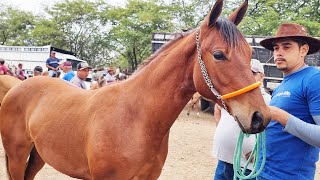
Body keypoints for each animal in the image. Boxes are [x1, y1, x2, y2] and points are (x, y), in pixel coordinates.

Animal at [0, 0, 272, 179]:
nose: (260, 117)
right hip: (16, 154)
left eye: (249, 53)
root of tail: (18, 87)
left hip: (38, 155)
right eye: (218, 55)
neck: (135, 119)